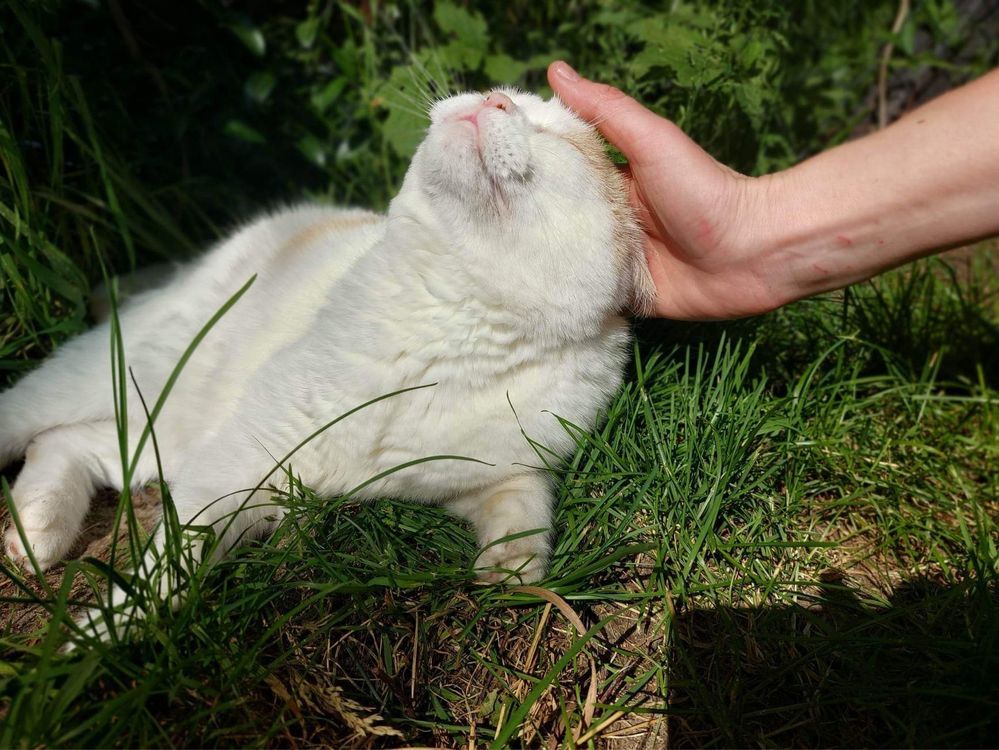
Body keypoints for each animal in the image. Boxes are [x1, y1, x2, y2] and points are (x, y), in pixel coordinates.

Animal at [0, 94, 652, 608]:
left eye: (551, 132)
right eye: (505, 95)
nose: (493, 99)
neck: (453, 334)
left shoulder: (498, 473)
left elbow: (524, 514)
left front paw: (511, 571)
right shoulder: (236, 465)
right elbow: (170, 571)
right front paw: (103, 643)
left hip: (168, 429)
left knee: (65, 441)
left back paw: (37, 532)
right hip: (115, 376)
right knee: (30, 422)